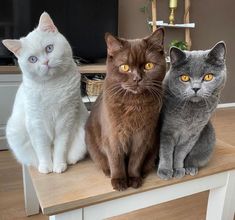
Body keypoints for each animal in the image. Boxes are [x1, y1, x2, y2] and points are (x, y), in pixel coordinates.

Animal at [2, 12, 89, 174]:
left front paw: (59, 165)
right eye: (32, 59)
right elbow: (42, 148)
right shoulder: (37, 124)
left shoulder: (65, 121)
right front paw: (46, 167)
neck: (52, 85)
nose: (46, 62)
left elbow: (61, 147)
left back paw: (70, 160)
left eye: (49, 48)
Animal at [85, 29, 166, 191]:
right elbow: (116, 160)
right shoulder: (113, 136)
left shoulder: (142, 136)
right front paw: (119, 181)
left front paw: (134, 178)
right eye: (125, 67)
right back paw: (108, 172)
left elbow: (135, 160)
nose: (137, 78)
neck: (134, 104)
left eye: (148, 65)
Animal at [157, 42, 227, 180]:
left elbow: (180, 153)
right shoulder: (167, 130)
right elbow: (166, 151)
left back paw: (190, 167)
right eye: (184, 78)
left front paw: (178, 169)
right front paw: (165, 170)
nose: (195, 88)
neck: (190, 112)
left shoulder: (193, 134)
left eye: (208, 76)